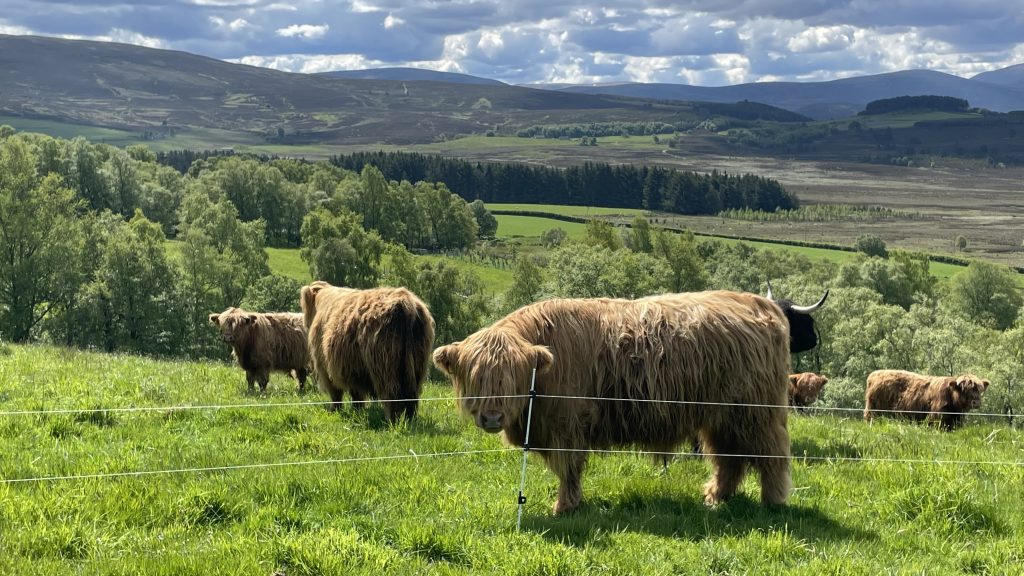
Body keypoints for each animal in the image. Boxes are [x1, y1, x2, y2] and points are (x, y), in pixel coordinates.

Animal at [300, 280, 435, 423]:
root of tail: (406, 304)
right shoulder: (353, 368)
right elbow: (356, 394)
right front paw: (356, 410)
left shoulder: (325, 366)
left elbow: (336, 393)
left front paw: (336, 410)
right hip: (417, 362)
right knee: (412, 395)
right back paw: (409, 420)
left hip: (384, 364)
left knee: (392, 393)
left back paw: (392, 420)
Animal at [432, 291, 796, 515]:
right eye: (477, 379)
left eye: (510, 379)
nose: (492, 417)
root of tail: (758, 304)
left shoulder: (566, 427)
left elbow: (568, 468)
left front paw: (564, 506)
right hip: (722, 417)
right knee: (728, 458)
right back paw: (715, 497)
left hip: (756, 413)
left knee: (771, 455)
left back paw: (773, 501)